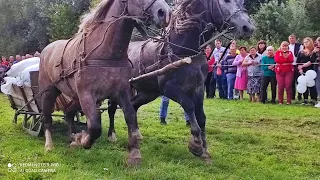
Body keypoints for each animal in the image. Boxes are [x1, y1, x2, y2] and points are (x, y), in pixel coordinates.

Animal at [106, 0, 254, 163]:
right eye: (226, 1)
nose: (248, 27)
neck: (184, 50)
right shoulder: (169, 88)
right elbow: (189, 105)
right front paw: (196, 144)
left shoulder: (198, 87)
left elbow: (201, 116)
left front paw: (205, 151)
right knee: (112, 107)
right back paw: (111, 135)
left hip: (148, 92)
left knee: (133, 106)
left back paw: (137, 134)